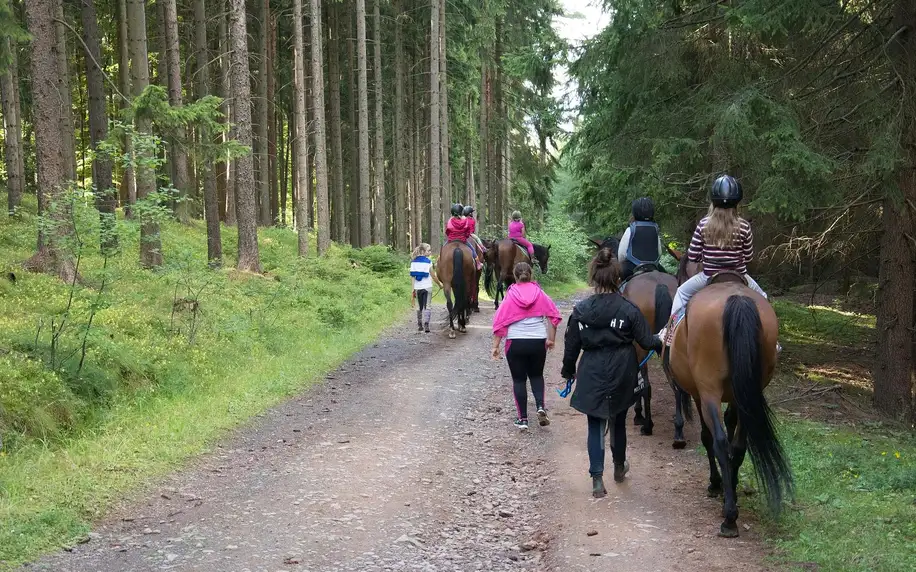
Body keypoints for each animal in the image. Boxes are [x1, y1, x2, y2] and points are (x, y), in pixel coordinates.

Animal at [660, 255, 792, 536]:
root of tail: (737, 300)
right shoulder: (737, 394)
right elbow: (732, 430)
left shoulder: (699, 394)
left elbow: (708, 436)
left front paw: (716, 484)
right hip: (750, 392)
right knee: (740, 442)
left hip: (709, 391)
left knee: (718, 440)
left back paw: (729, 516)